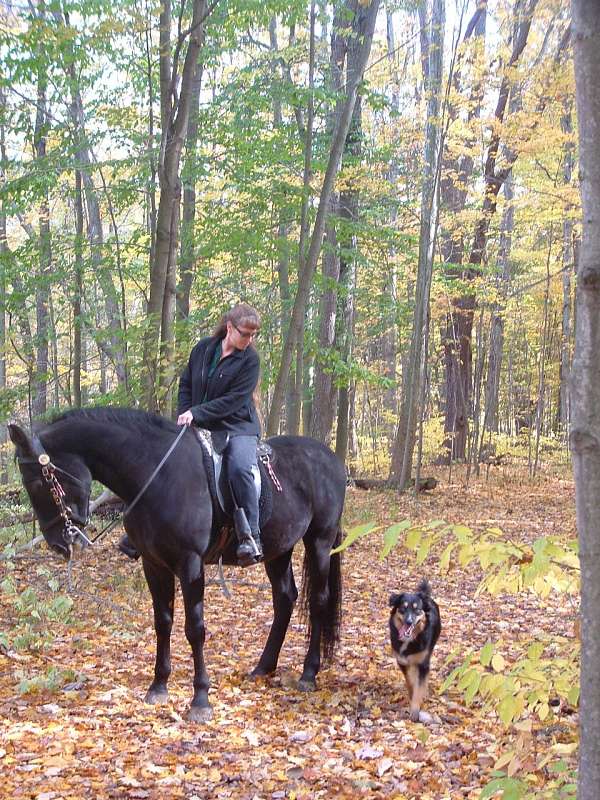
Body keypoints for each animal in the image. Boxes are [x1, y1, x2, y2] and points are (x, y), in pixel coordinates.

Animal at [9, 410, 344, 720]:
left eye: (37, 482)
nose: (58, 543)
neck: (156, 475)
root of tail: (331, 459)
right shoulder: (154, 565)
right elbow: (163, 623)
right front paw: (158, 687)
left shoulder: (190, 564)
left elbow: (194, 628)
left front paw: (200, 699)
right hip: (279, 550)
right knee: (285, 598)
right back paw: (263, 667)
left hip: (320, 541)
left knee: (318, 600)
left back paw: (308, 673)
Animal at [390, 580, 440, 720]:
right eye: (403, 608)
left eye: (417, 610)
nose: (408, 621)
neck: (410, 640)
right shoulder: (402, 661)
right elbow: (410, 682)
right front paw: (411, 697)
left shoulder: (423, 664)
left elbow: (419, 687)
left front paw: (415, 710)